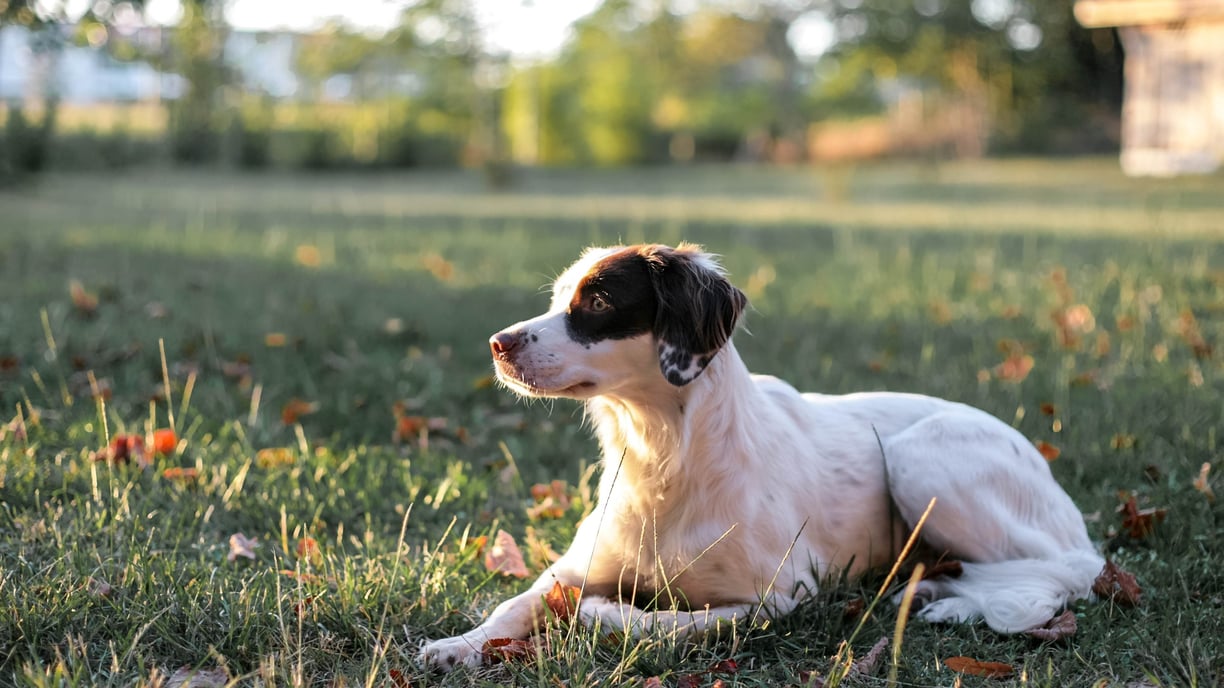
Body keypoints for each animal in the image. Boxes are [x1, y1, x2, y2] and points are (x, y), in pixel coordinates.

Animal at [418, 243, 1101, 665]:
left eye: (600, 302)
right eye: (558, 297)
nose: (498, 344)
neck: (663, 462)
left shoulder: (782, 597)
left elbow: (673, 619)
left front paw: (604, 614)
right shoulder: (573, 566)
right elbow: (515, 601)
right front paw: (458, 644)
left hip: (923, 458)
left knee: (1066, 572)